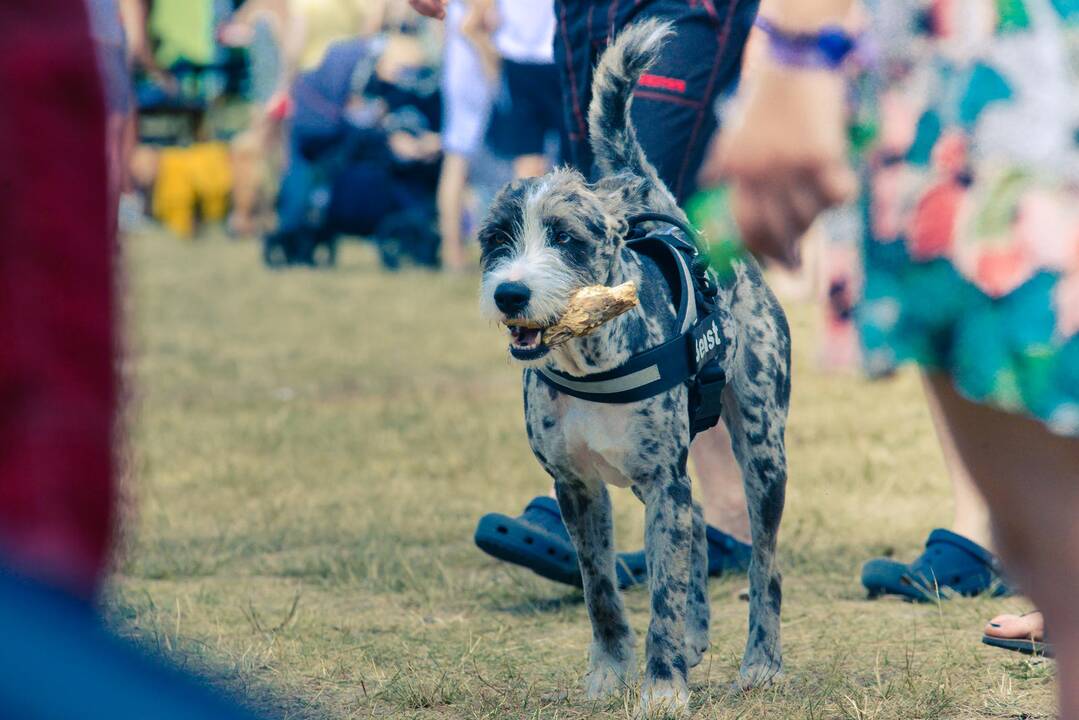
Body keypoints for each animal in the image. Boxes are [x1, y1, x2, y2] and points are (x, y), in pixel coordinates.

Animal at [476, 19, 789, 716]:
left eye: (566, 238)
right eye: (495, 239)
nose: (509, 293)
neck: (590, 365)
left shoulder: (662, 481)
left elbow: (663, 598)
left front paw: (663, 686)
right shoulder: (576, 487)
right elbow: (602, 593)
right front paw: (610, 674)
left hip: (763, 451)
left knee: (765, 565)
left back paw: (761, 662)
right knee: (697, 531)